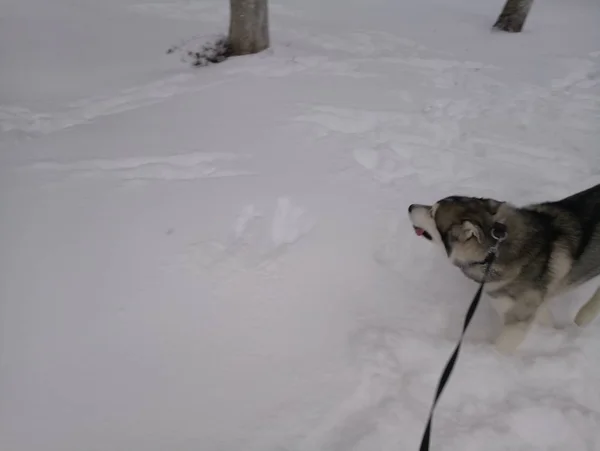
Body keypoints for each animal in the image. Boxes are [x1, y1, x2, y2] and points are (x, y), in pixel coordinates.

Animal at [410, 185, 600, 354]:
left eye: (432, 213)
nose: (410, 206)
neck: (493, 252)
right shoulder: (534, 304)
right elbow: (545, 318)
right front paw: (554, 334)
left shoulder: (518, 319)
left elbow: (502, 346)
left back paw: (583, 316)